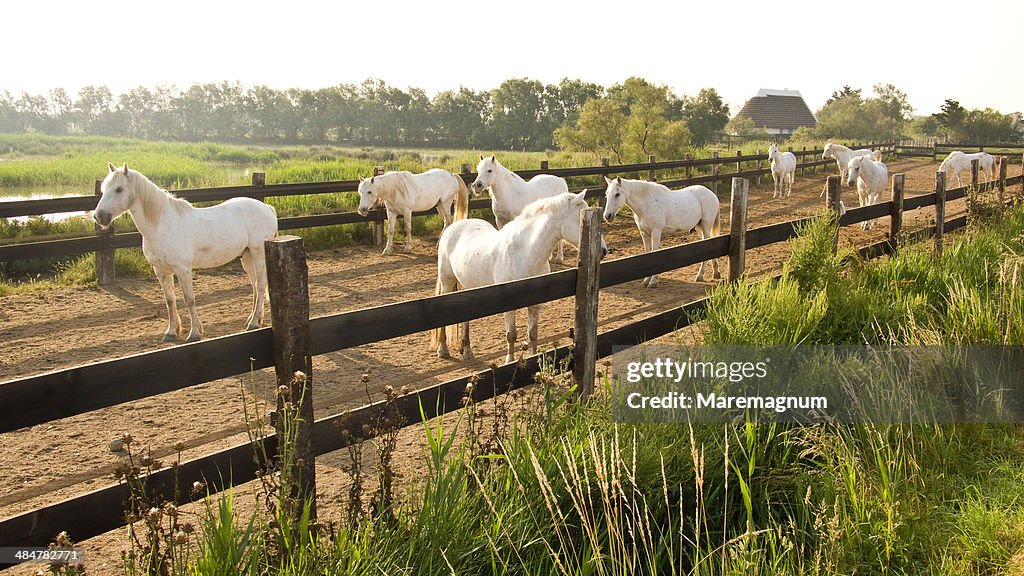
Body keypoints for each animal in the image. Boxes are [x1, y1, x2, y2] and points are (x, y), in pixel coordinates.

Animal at [94, 161, 278, 340]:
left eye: (119, 189)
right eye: (103, 189)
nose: (98, 216)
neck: (162, 226)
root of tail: (267, 207)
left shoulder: (183, 269)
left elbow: (189, 299)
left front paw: (194, 332)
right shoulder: (160, 271)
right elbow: (170, 300)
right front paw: (171, 332)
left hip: (258, 253)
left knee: (260, 285)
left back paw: (253, 323)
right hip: (246, 256)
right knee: (255, 286)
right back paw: (253, 319)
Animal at [428, 191, 602, 362]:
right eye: (579, 217)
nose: (603, 250)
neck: (524, 252)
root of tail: (453, 227)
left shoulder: (535, 303)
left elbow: (533, 334)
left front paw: (533, 357)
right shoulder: (509, 303)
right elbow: (511, 335)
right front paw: (509, 361)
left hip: (467, 286)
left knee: (465, 318)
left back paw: (467, 351)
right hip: (447, 282)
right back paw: (443, 350)